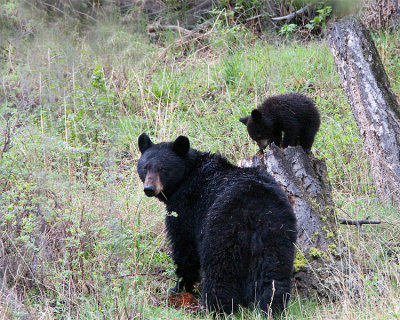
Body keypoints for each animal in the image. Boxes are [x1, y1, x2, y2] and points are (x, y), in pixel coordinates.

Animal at [138, 134, 296, 316]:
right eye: (145, 167)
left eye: (163, 168)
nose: (149, 188)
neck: (187, 175)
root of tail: (255, 212)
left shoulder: (186, 208)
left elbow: (184, 247)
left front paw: (180, 287)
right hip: (277, 233)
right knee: (274, 274)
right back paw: (271, 308)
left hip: (224, 229)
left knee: (221, 271)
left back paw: (217, 308)